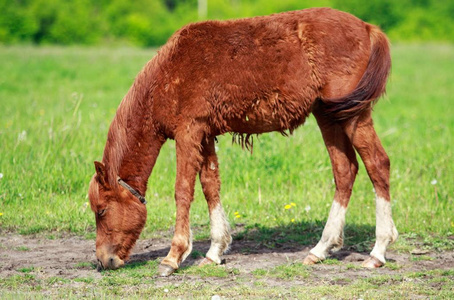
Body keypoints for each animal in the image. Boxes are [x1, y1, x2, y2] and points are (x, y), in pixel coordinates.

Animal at [88, 7, 398, 278]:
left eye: (101, 210)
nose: (104, 261)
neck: (167, 75)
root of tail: (367, 28)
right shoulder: (206, 134)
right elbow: (210, 186)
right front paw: (215, 251)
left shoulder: (188, 132)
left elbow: (183, 190)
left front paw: (173, 257)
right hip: (329, 115)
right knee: (345, 171)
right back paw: (321, 249)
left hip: (354, 115)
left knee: (377, 164)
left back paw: (377, 252)